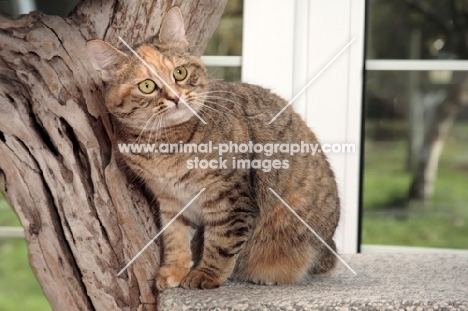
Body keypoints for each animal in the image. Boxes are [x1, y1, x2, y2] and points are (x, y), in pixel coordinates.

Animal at [86, 6, 340, 292]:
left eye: (180, 73)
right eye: (147, 86)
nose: (175, 97)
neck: (165, 145)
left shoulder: (230, 198)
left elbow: (221, 241)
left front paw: (207, 274)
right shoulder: (170, 200)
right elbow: (174, 238)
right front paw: (174, 269)